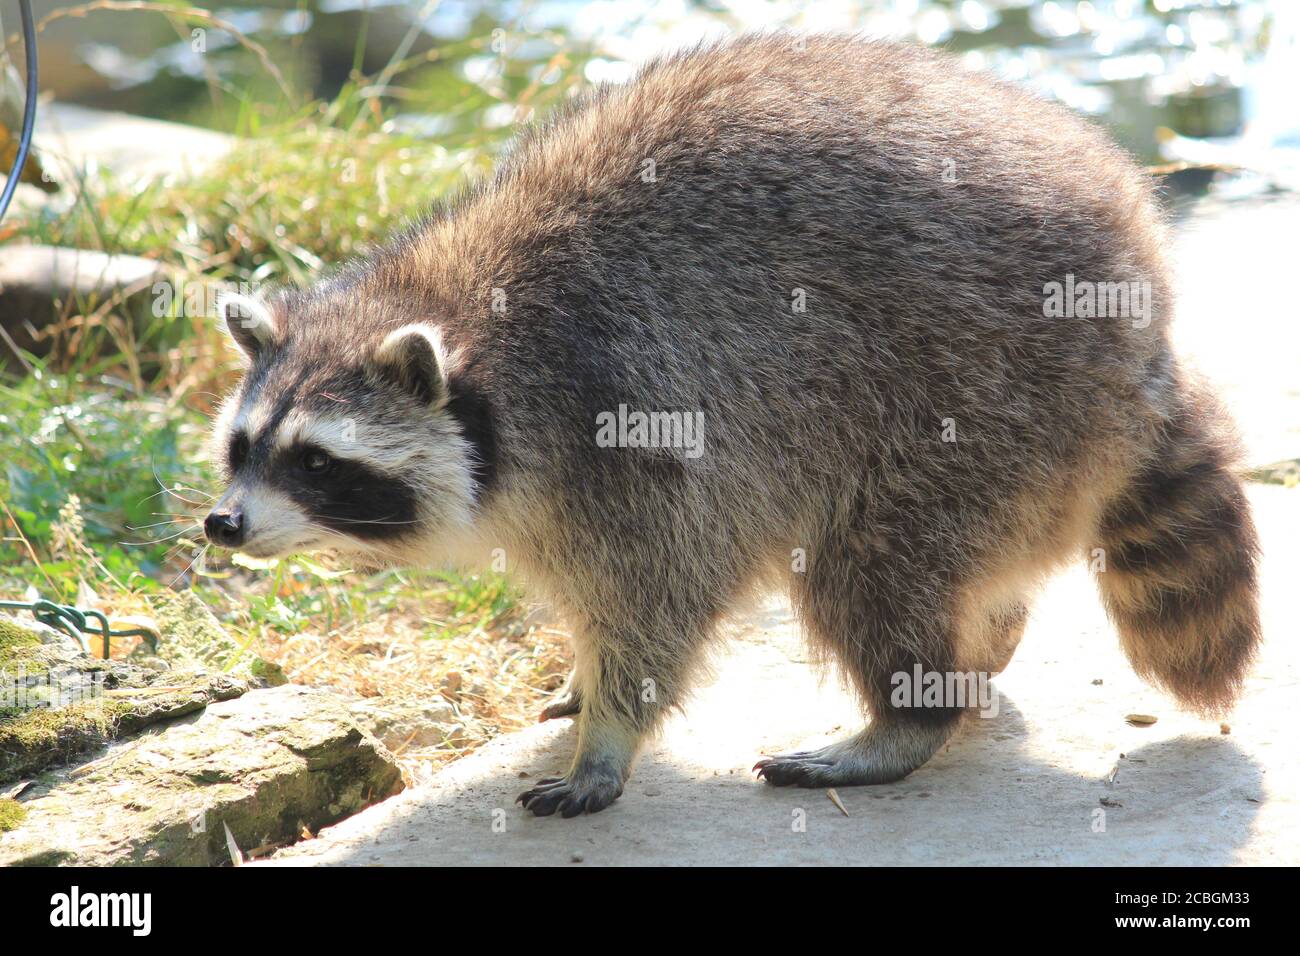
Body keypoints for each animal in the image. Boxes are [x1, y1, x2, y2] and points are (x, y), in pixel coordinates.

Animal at [205, 35, 1258, 816]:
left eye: (316, 462)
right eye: (242, 447)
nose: (223, 524)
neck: (469, 326)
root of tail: (1145, 317)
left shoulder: (628, 421)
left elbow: (659, 592)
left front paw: (609, 734)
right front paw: (583, 677)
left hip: (981, 391)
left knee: (866, 565)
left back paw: (906, 716)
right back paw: (977, 647)